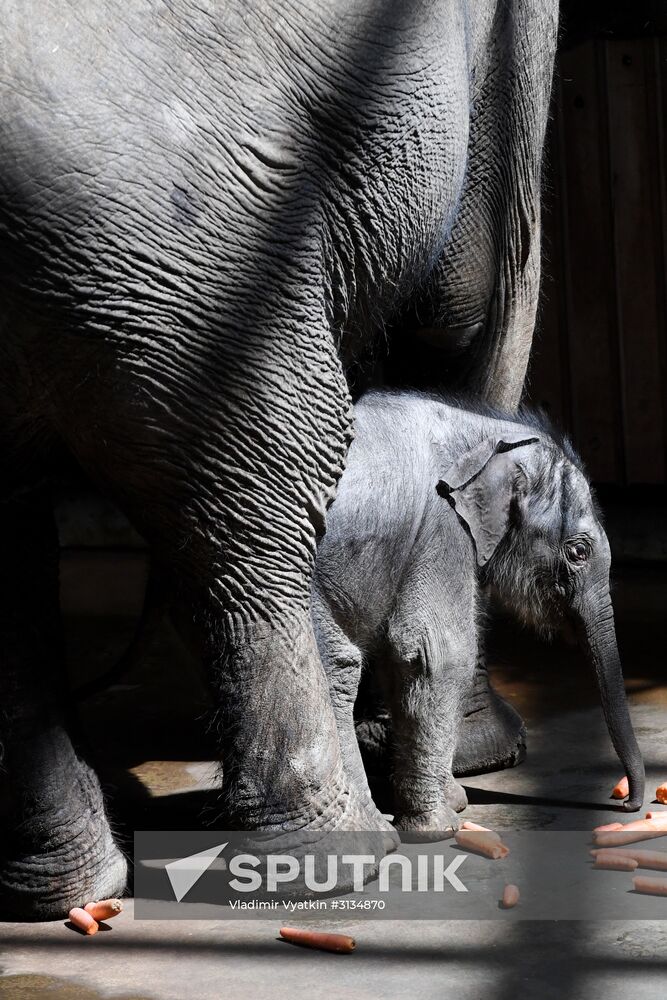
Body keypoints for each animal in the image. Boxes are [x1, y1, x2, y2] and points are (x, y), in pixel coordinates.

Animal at [0, 0, 559, 917]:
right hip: (191, 257)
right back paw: (331, 858)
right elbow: (470, 302)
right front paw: (473, 757)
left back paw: (66, 890)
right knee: (259, 500)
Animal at [311, 390, 645, 834]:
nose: (627, 804)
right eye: (578, 551)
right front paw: (438, 825)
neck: (484, 431)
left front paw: (454, 801)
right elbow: (437, 653)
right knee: (337, 668)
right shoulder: (442, 524)